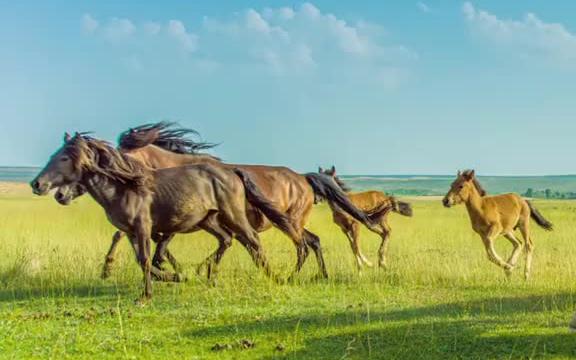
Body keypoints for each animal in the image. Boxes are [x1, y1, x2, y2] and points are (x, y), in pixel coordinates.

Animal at [31, 132, 292, 300]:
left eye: (64, 158)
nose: (37, 184)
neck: (125, 187)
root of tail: (232, 171)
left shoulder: (144, 227)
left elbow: (148, 258)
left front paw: (145, 296)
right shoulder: (131, 231)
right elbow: (144, 259)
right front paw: (176, 276)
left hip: (233, 214)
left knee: (252, 241)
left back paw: (275, 278)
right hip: (208, 219)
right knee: (227, 240)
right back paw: (207, 274)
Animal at [54, 122, 378, 280]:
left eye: (98, 159)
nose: (60, 193)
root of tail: (303, 178)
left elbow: (153, 246)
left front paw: (182, 270)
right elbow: (147, 243)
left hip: (290, 221)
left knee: (305, 244)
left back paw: (296, 274)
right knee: (312, 241)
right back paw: (318, 275)